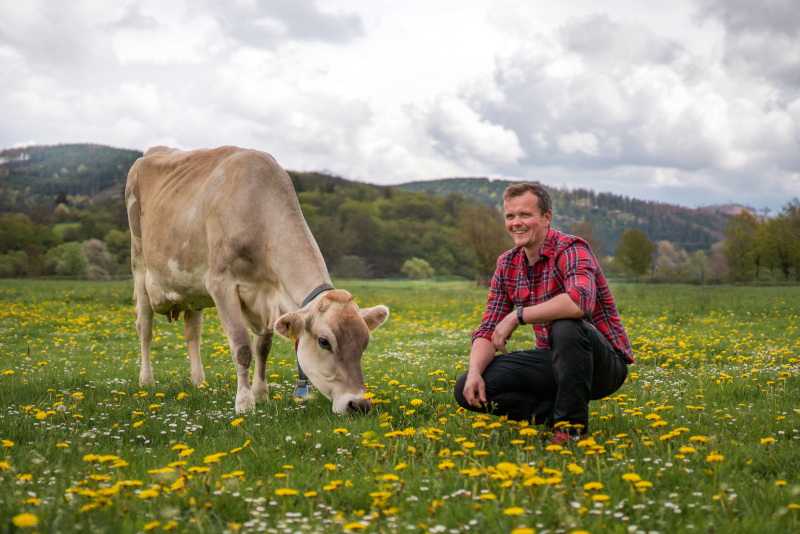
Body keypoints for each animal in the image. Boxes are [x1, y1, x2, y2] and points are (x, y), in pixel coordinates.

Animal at [123, 146, 390, 414]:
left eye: (365, 342)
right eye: (324, 342)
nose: (359, 404)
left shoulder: (268, 299)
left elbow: (263, 347)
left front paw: (261, 394)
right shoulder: (221, 285)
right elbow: (242, 347)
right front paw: (244, 402)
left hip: (193, 289)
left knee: (192, 332)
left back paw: (198, 381)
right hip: (139, 262)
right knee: (145, 327)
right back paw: (147, 380)